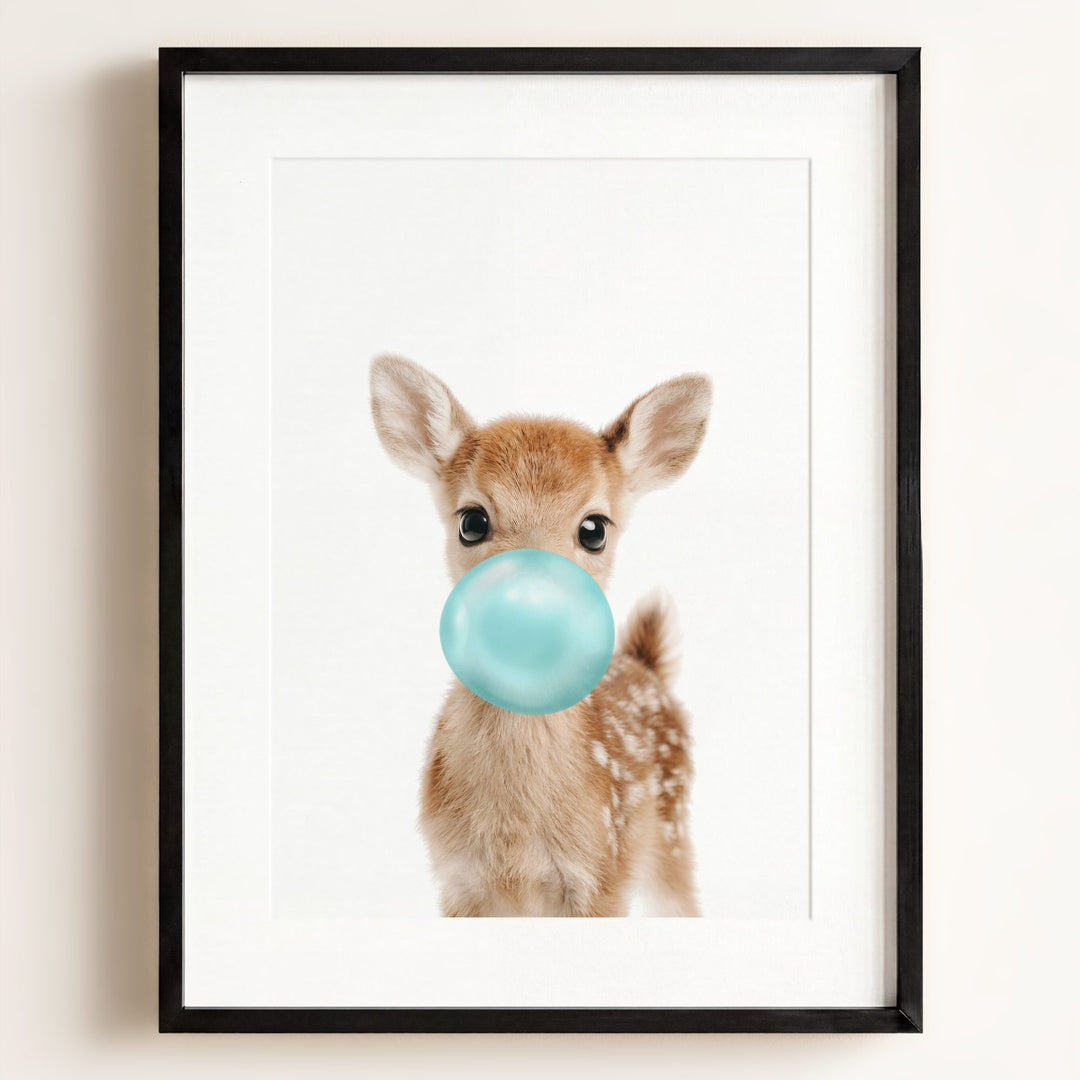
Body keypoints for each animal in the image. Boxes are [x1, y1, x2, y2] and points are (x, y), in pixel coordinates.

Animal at [370, 354, 712, 916]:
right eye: (472, 521)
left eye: (594, 529)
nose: (529, 606)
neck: (514, 842)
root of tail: (646, 664)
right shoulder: (457, 882)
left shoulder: (602, 876)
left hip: (672, 834)